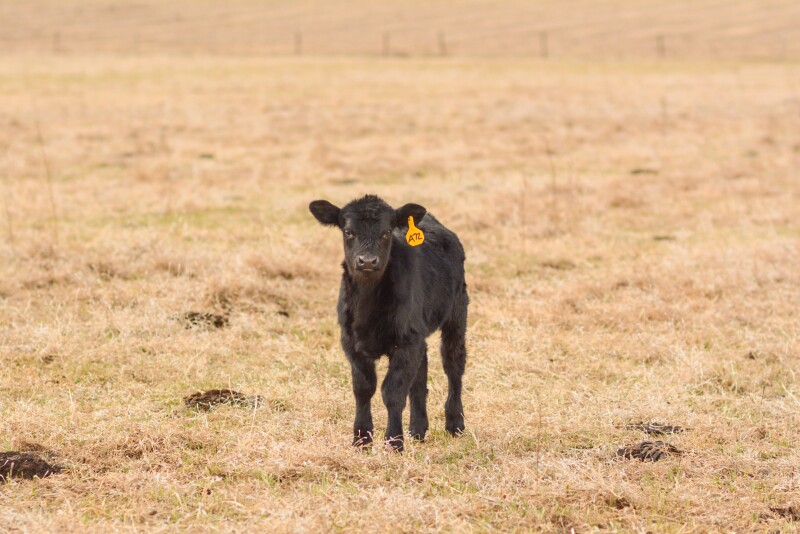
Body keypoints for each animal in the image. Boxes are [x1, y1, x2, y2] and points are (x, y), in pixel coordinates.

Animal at [309, 194, 469, 452]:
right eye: (348, 232)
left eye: (386, 232)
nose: (367, 261)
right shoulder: (351, 341)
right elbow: (363, 388)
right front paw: (361, 439)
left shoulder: (405, 342)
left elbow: (393, 391)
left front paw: (394, 442)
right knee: (421, 371)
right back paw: (418, 429)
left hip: (457, 312)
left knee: (453, 364)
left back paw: (455, 424)